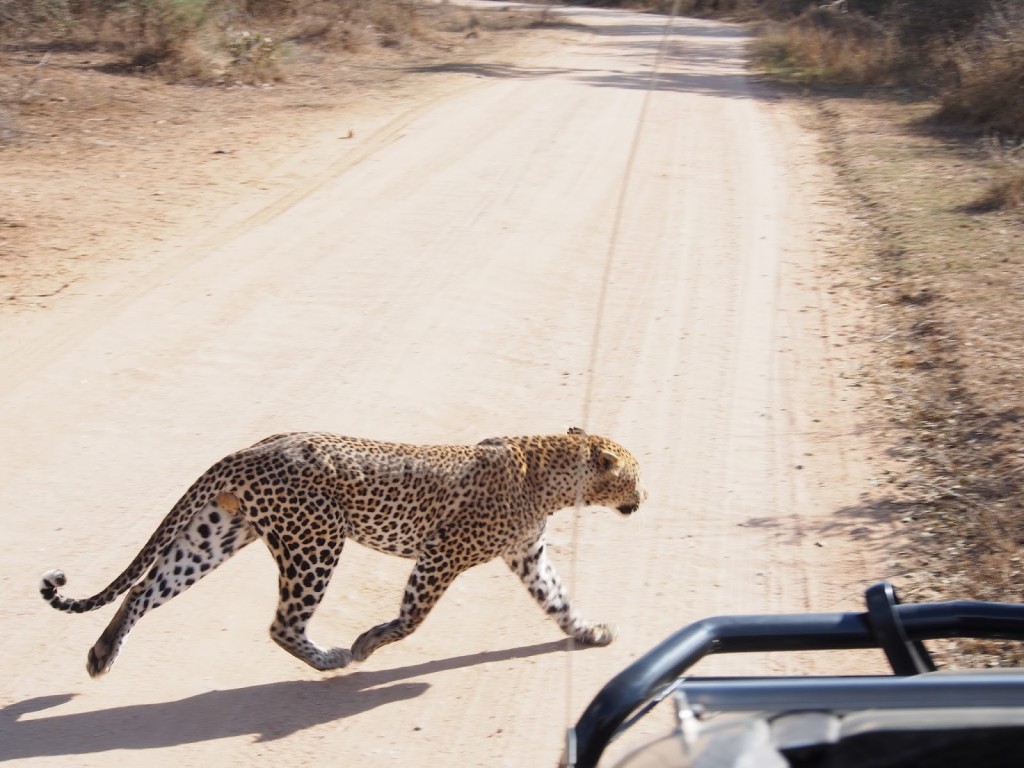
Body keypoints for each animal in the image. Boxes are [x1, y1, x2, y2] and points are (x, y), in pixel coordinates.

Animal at [44, 430, 647, 675]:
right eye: (635, 476)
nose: (644, 499)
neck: (554, 472)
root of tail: (251, 448)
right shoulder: (441, 554)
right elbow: (412, 617)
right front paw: (366, 644)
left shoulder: (528, 556)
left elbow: (557, 600)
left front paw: (591, 632)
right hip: (317, 541)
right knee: (283, 624)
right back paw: (332, 658)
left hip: (217, 533)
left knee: (145, 589)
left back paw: (102, 655)